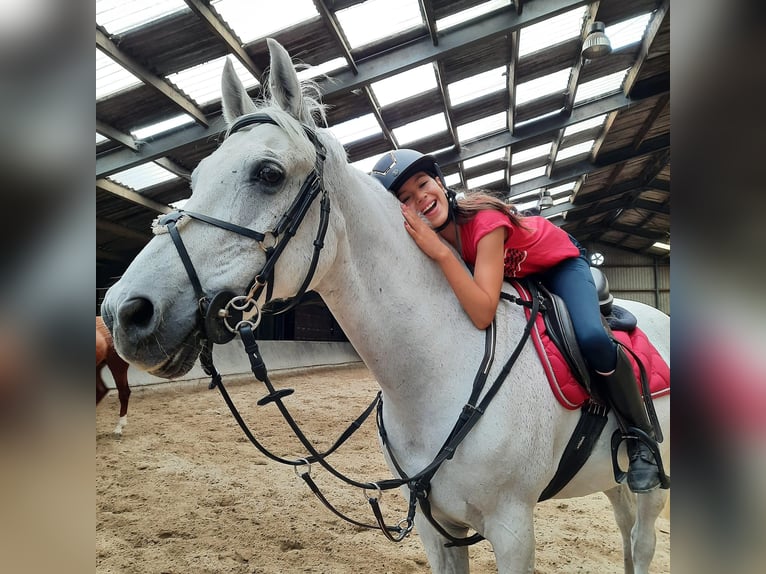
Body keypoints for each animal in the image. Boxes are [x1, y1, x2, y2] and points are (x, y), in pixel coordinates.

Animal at [103, 38, 672, 572]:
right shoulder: (436, 528)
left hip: (649, 487)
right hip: (611, 482)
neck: (442, 368)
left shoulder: (514, 530)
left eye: (268, 173)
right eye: (196, 178)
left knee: (641, 541)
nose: (124, 313)